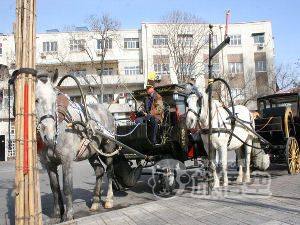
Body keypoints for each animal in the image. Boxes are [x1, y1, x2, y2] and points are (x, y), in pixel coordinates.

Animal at [35, 71, 118, 223]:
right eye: (36, 100)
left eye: (54, 102)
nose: (49, 136)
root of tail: (106, 110)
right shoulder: (48, 163)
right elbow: (54, 188)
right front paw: (56, 215)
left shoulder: (66, 159)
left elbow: (67, 188)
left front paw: (68, 215)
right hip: (91, 151)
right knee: (99, 170)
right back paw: (95, 202)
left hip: (108, 146)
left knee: (109, 171)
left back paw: (109, 200)